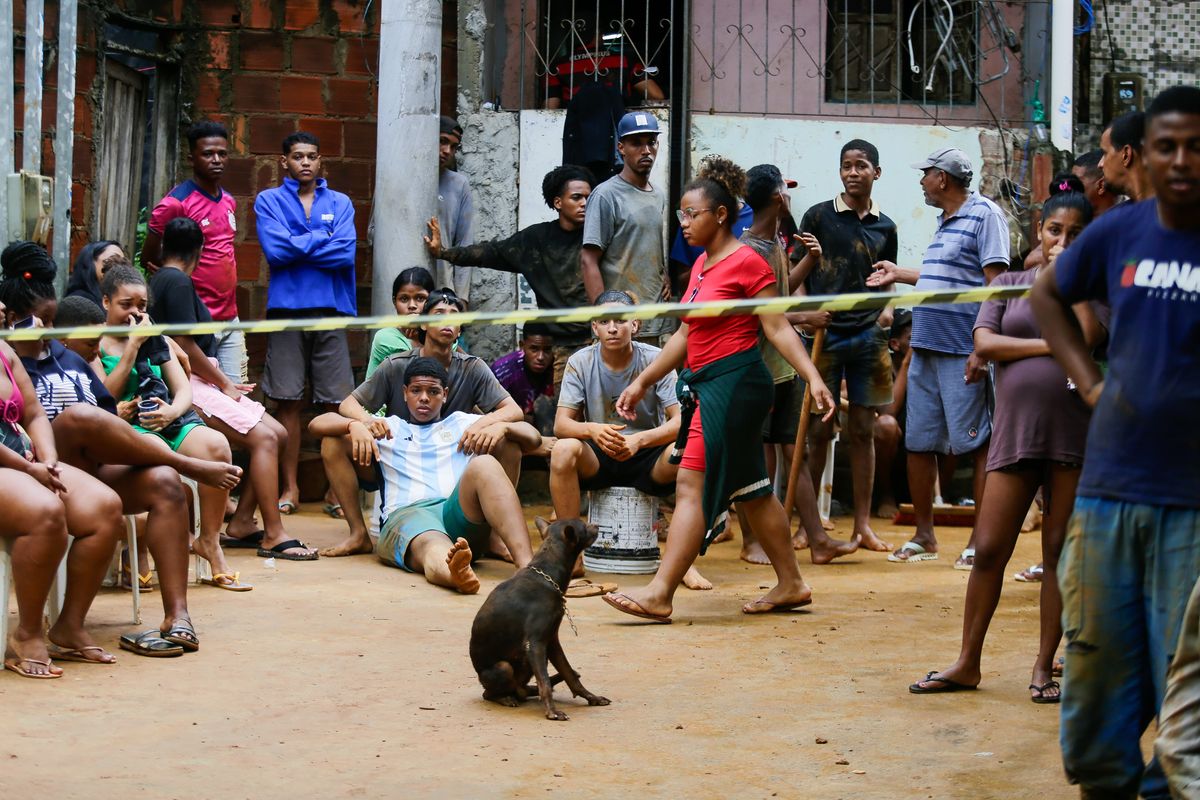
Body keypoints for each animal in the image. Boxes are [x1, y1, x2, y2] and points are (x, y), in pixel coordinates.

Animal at [468, 520, 609, 719]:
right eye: (584, 526)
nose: (597, 525)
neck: (546, 573)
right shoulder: (536, 644)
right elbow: (545, 682)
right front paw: (552, 711)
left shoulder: (551, 642)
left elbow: (569, 675)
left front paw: (592, 698)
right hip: (504, 667)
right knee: (489, 693)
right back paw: (506, 698)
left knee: (525, 689)